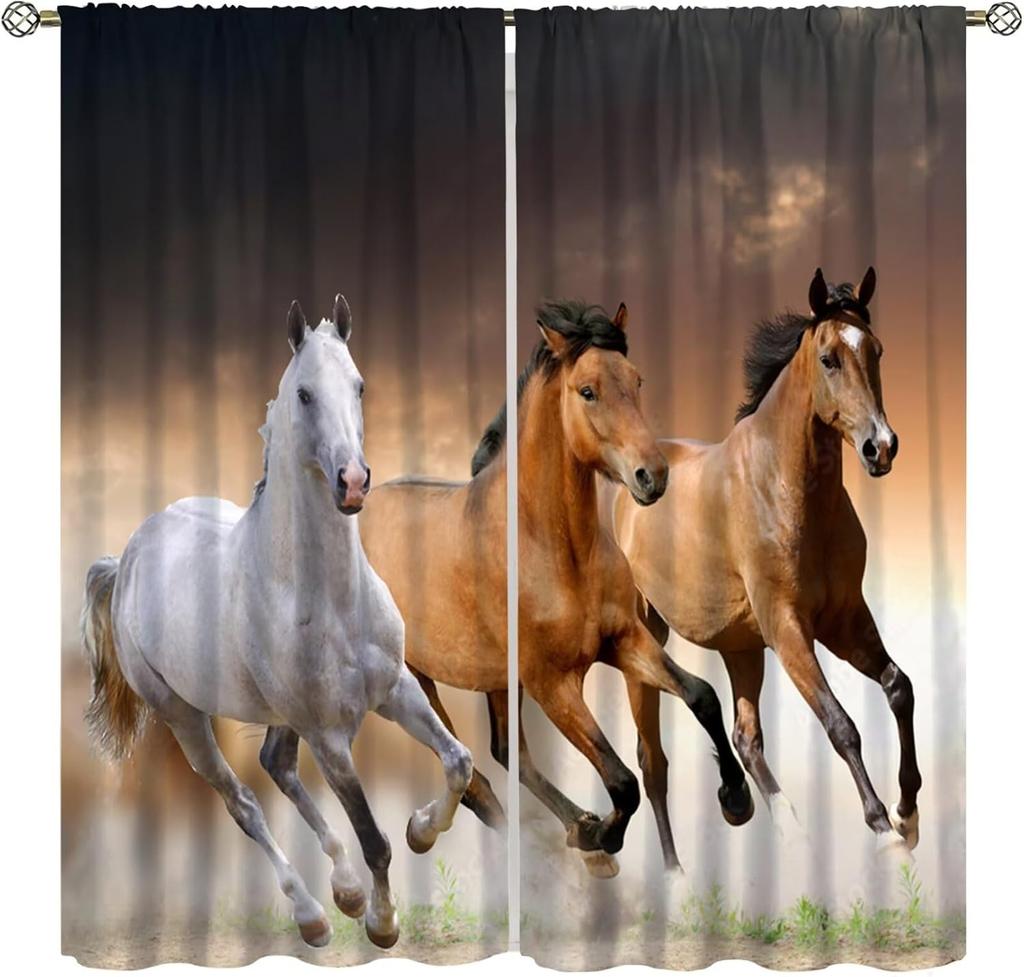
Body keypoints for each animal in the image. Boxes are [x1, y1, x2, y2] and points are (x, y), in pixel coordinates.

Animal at [81, 295, 473, 949]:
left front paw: (421, 830)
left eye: (360, 385)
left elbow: (458, 764)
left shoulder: (395, 690)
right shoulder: (330, 736)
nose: (353, 482)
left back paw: (343, 891)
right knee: (242, 802)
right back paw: (314, 914)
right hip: (183, 716)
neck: (328, 599)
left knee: (276, 766)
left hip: (278, 715)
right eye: (304, 394)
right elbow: (375, 839)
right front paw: (382, 923)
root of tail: (129, 555)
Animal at [360, 300, 753, 878]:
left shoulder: (624, 641)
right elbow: (622, 781)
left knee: (507, 755)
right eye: (587, 391)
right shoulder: (553, 682)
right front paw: (600, 836)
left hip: (496, 680)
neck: (553, 548)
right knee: (470, 770)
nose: (653, 476)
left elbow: (702, 696)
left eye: (637, 380)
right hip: (414, 676)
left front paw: (736, 799)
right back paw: (436, 832)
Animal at [614, 268, 920, 862]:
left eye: (875, 350)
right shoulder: (788, 628)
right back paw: (676, 870)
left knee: (745, 737)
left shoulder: (843, 619)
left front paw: (908, 812)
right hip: (646, 638)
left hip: (741, 647)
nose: (882, 447)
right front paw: (883, 830)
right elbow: (841, 724)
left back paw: (780, 823)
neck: (785, 490)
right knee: (652, 762)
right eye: (828, 358)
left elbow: (899, 687)